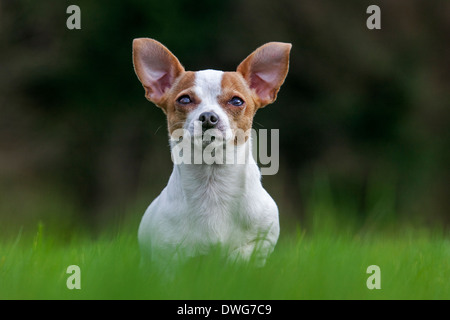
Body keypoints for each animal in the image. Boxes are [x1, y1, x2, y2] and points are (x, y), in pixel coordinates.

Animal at [132, 38, 290, 268]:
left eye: (236, 101)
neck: (212, 180)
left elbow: (243, 256)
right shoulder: (169, 256)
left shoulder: (260, 243)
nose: (208, 117)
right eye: (184, 100)